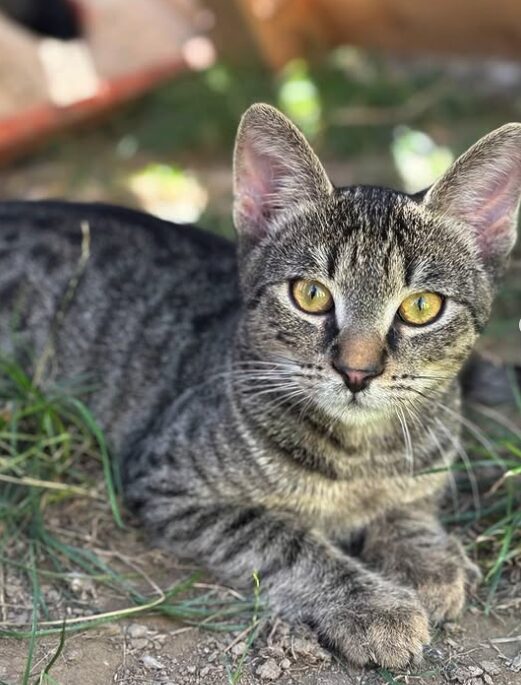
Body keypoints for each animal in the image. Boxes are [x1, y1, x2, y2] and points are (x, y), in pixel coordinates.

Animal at [0, 107, 516, 668]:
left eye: (421, 307)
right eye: (310, 295)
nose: (357, 371)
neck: (361, 457)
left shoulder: (425, 470)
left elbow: (411, 505)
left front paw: (427, 562)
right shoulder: (168, 482)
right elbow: (287, 540)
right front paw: (375, 606)